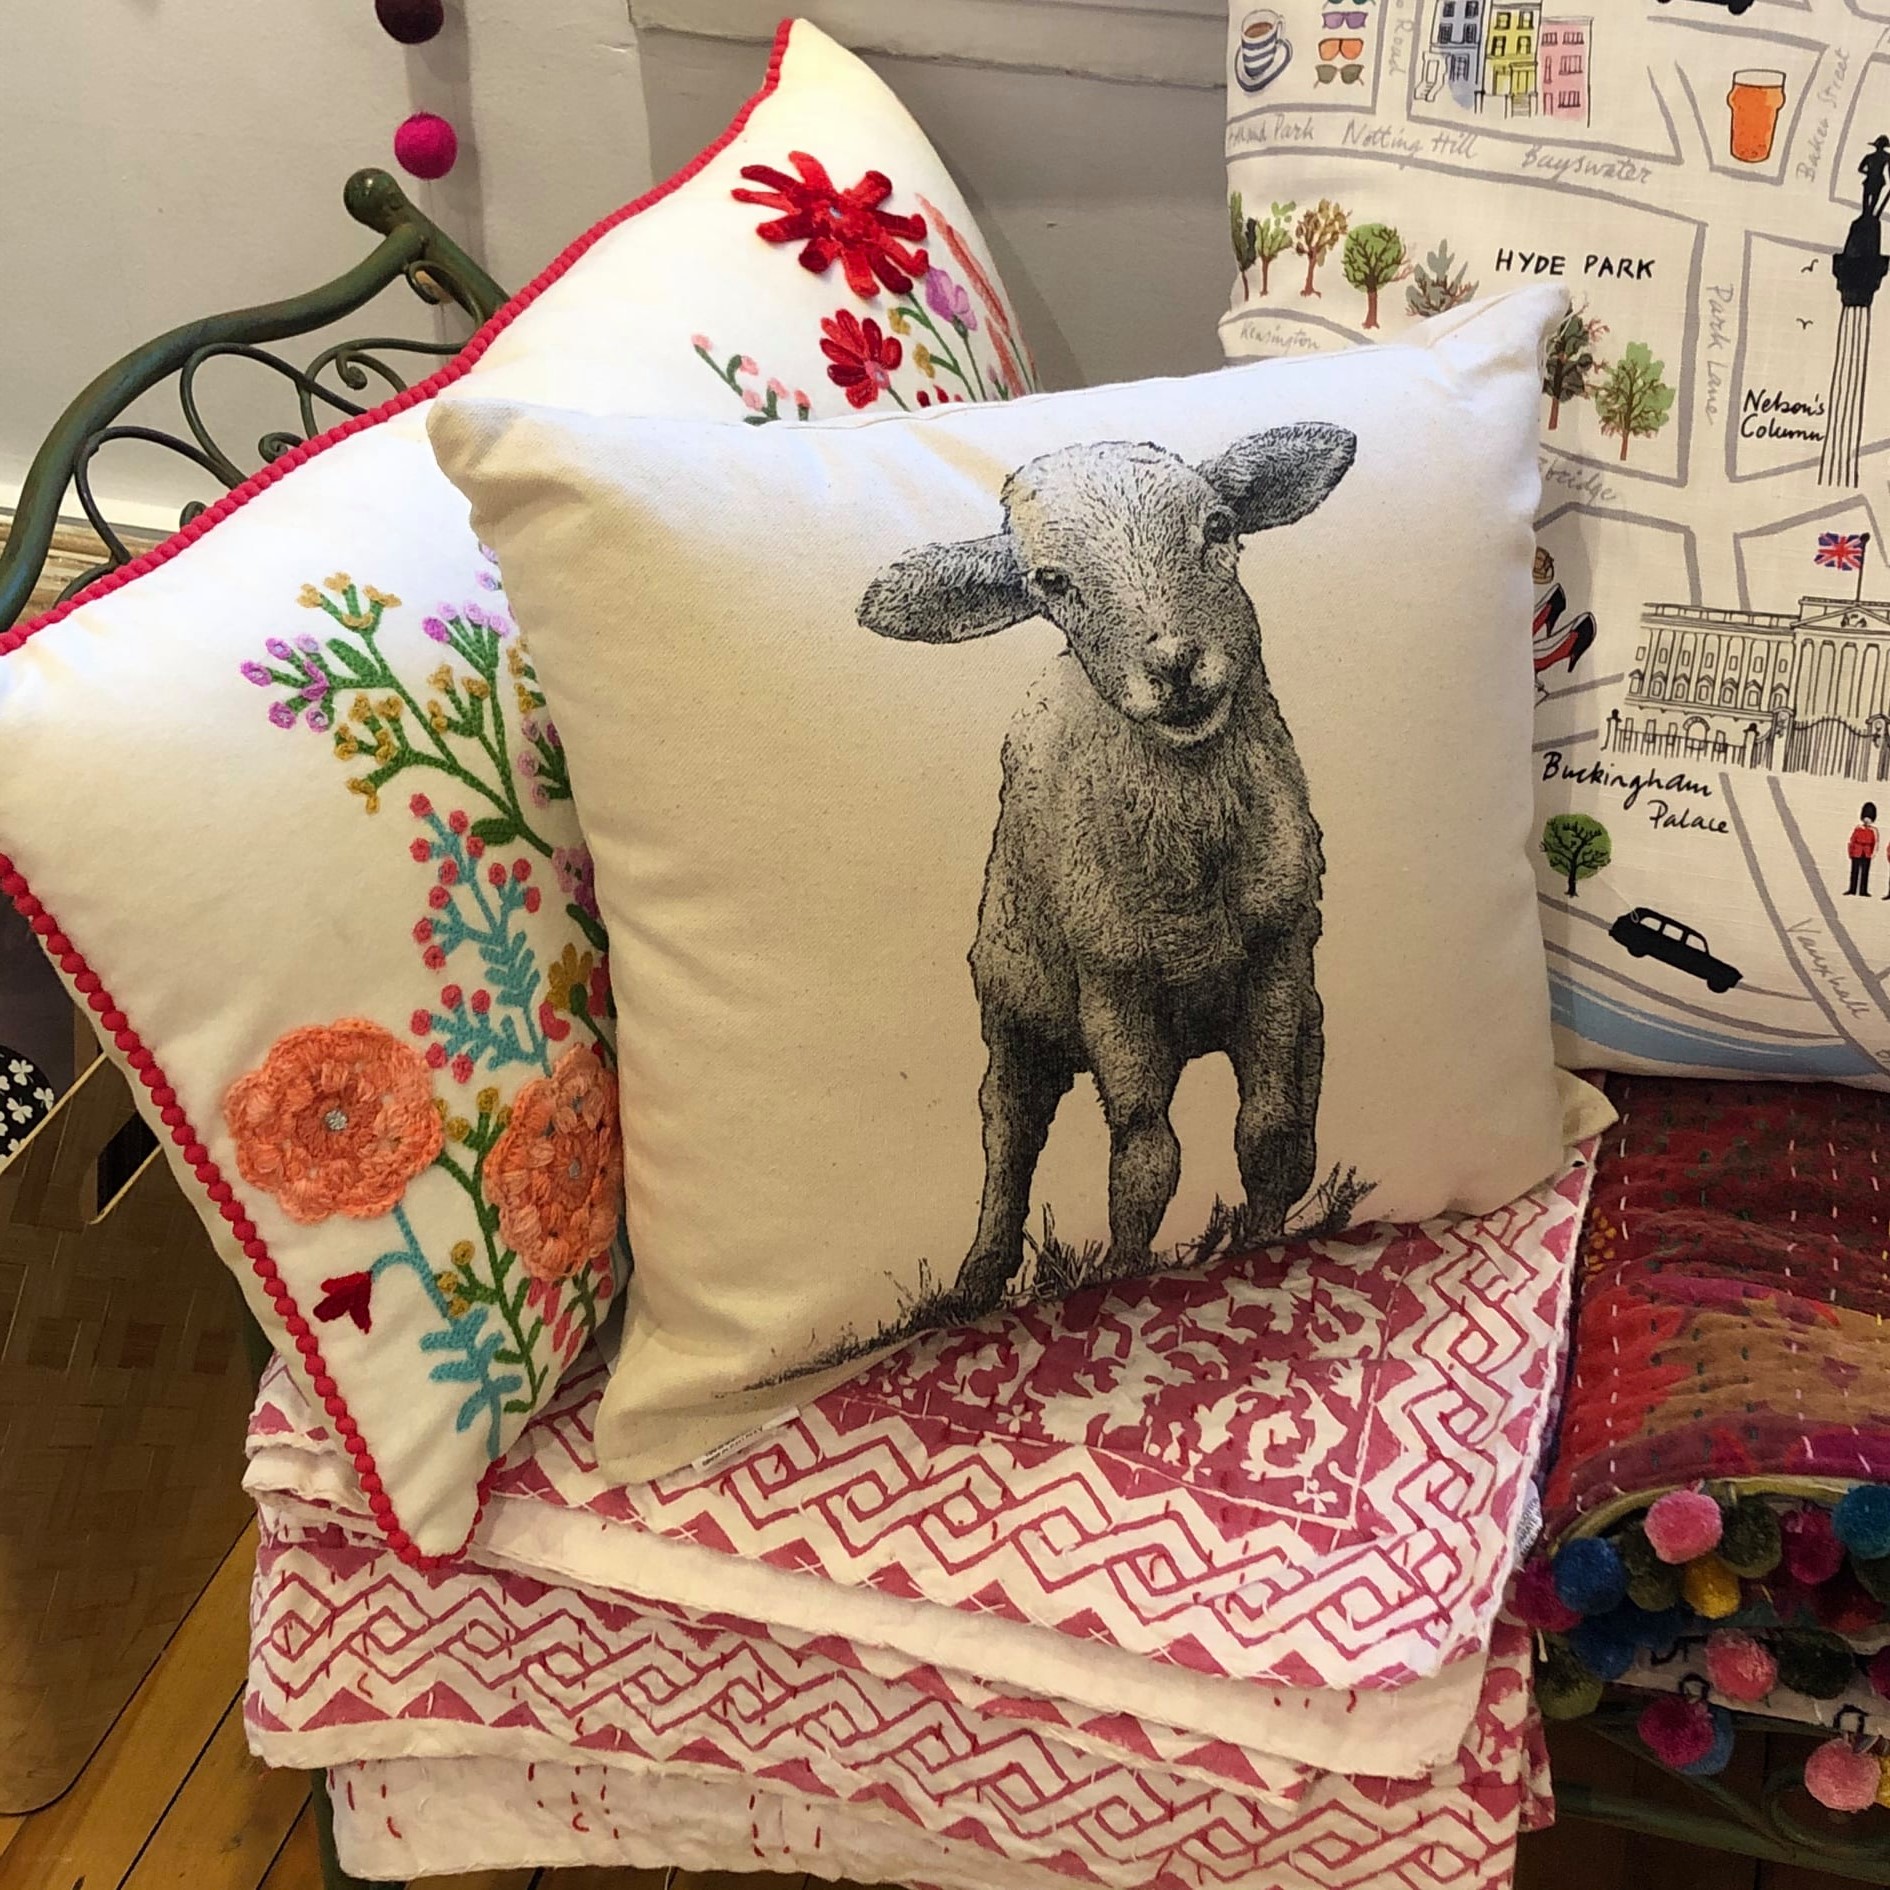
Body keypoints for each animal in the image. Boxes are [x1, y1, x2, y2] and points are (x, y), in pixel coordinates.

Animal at [857, 422, 1357, 1317]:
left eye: (1220, 526)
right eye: (1051, 583)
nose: (1176, 665)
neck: (1194, 878)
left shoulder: (1276, 956)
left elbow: (1268, 1133)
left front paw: (1262, 1242)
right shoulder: (1114, 987)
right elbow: (1145, 1159)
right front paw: (1129, 1272)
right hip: (1017, 1013)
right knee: (1008, 1133)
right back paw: (978, 1278)